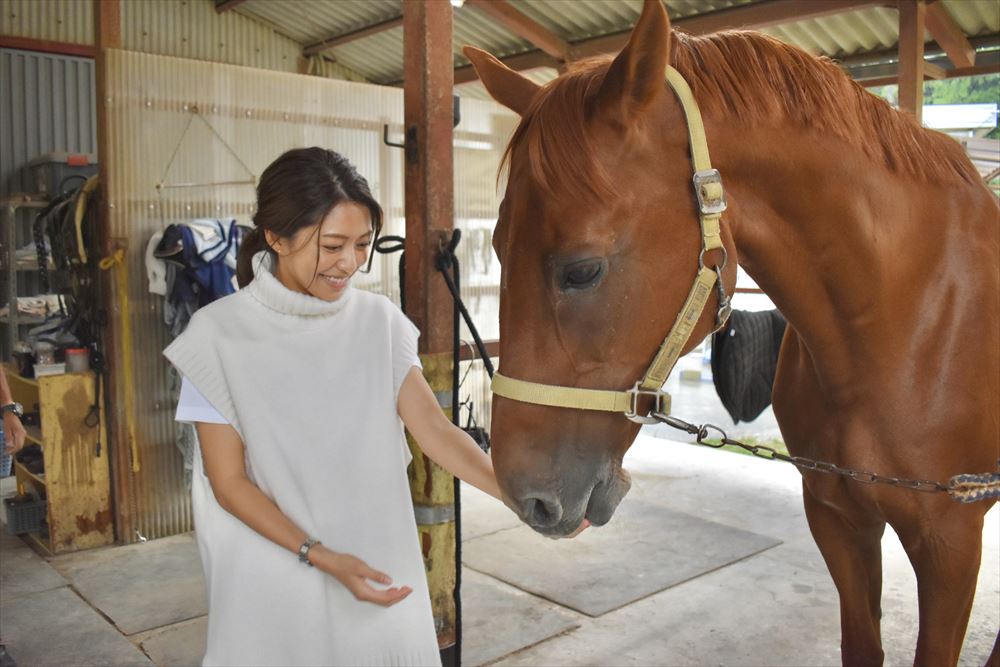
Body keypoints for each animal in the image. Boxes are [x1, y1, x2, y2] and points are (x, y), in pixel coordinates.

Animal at [463, 1, 999, 664]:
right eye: (496, 248)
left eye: (582, 269)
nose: (523, 495)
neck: (904, 318)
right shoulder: (837, 516)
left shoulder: (951, 539)